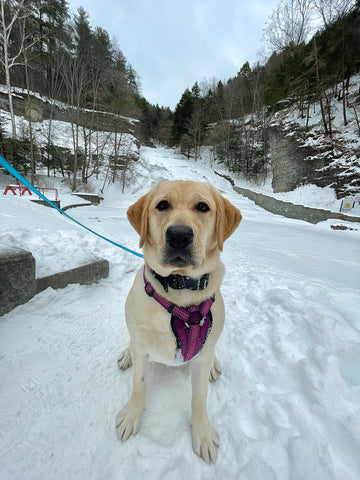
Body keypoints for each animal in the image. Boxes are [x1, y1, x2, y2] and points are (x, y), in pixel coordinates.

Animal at [116, 181, 240, 464]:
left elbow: (200, 396)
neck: (179, 287)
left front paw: (202, 433)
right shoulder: (142, 346)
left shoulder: (202, 356)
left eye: (203, 207)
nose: (179, 235)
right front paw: (132, 416)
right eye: (162, 205)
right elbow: (139, 383)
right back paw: (126, 355)